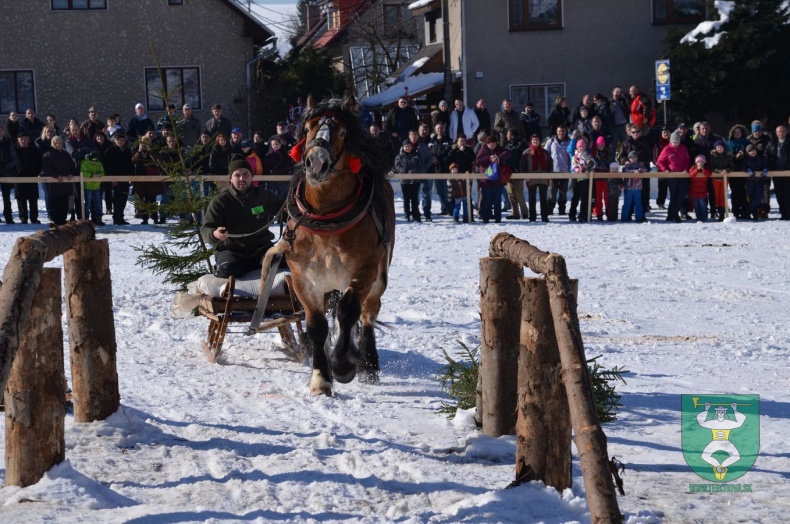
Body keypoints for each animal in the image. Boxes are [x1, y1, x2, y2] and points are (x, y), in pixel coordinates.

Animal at [260, 96, 396, 396]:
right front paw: (321, 379)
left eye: (343, 132)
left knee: (367, 315)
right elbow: (317, 326)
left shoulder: (364, 271)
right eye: (308, 127)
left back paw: (368, 364)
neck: (325, 219)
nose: (317, 162)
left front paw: (343, 366)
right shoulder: (304, 280)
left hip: (378, 279)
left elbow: (347, 312)